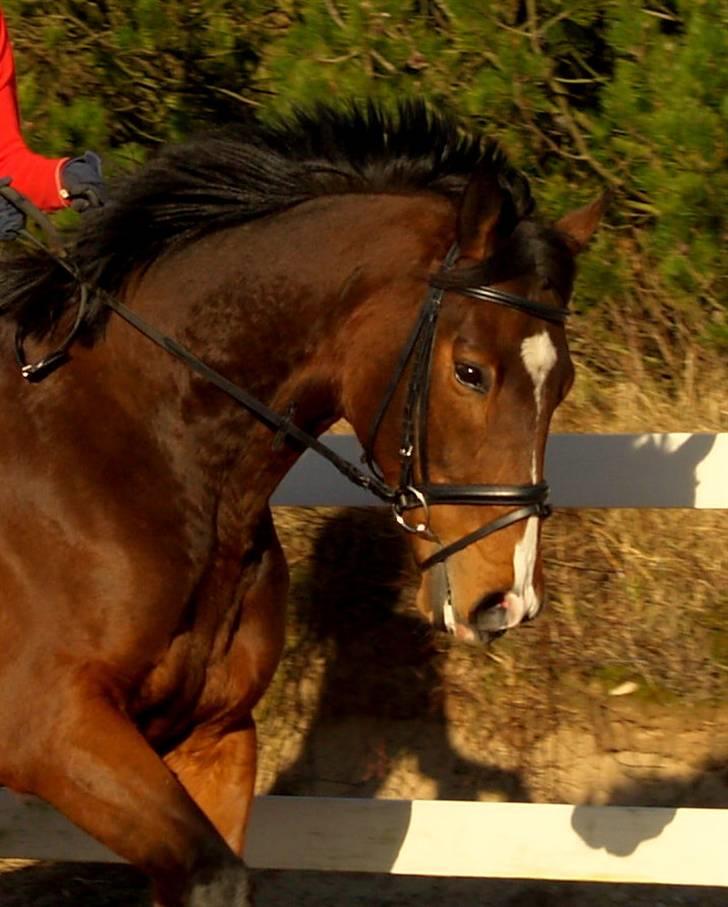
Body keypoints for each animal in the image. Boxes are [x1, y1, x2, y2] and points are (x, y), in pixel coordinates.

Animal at [0, 103, 604, 904]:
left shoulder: (216, 736)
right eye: (470, 371)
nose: (506, 601)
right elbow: (213, 876)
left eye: (562, 383)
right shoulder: (53, 730)